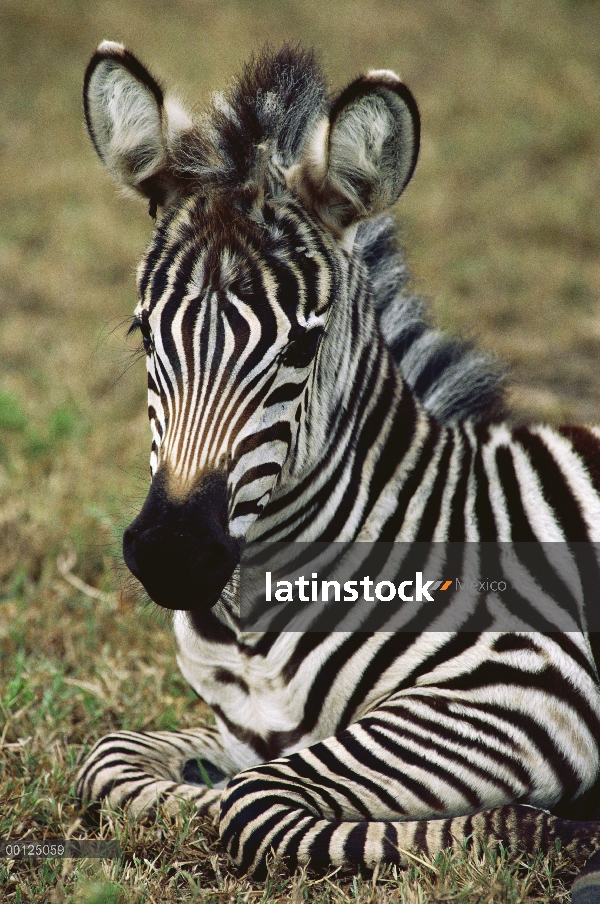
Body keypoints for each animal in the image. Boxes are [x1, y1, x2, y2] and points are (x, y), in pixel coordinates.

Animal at [77, 42, 600, 896]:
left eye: (300, 345)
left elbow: (251, 806)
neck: (257, 629)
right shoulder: (242, 731)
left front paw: (543, 831)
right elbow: (113, 761)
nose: (172, 553)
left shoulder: (533, 680)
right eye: (144, 332)